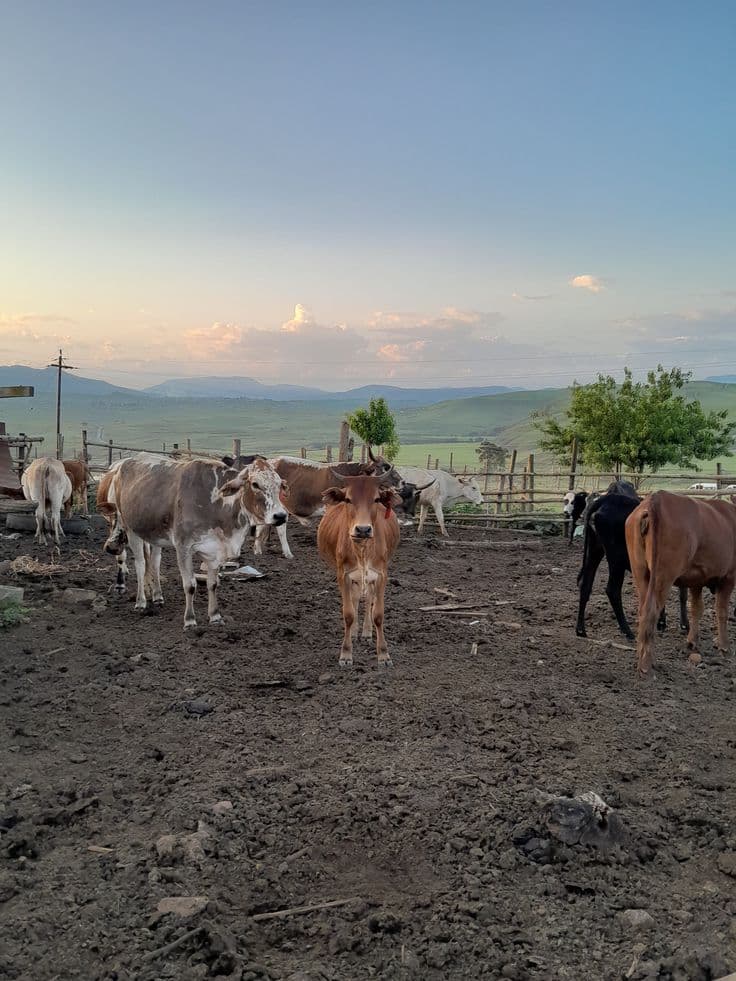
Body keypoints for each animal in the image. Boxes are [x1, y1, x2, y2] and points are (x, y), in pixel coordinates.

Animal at [102, 454, 288, 627]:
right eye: (255, 484)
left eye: (279, 484)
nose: (280, 516)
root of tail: (124, 464)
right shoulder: (183, 547)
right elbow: (190, 585)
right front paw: (190, 620)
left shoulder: (214, 550)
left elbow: (213, 584)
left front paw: (215, 616)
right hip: (130, 528)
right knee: (140, 565)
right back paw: (141, 601)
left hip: (155, 536)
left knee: (154, 563)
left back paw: (157, 596)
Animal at [317, 473, 401, 667]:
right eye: (348, 499)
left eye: (376, 499)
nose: (363, 529)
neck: (362, 548)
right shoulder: (343, 575)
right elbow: (348, 614)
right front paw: (346, 654)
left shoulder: (381, 575)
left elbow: (378, 613)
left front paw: (383, 654)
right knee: (355, 599)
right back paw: (355, 632)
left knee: (369, 598)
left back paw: (366, 633)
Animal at [575, 484, 689, 640]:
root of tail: (606, 499)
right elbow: (681, 594)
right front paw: (682, 625)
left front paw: (661, 622)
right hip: (616, 559)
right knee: (612, 590)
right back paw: (627, 631)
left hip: (595, 549)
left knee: (585, 584)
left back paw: (581, 630)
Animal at [625, 490, 736, 675]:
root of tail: (656, 499)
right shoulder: (729, 576)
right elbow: (721, 611)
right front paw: (724, 646)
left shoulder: (697, 580)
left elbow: (696, 609)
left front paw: (692, 641)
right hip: (663, 575)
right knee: (651, 611)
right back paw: (646, 665)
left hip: (640, 572)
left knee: (642, 611)